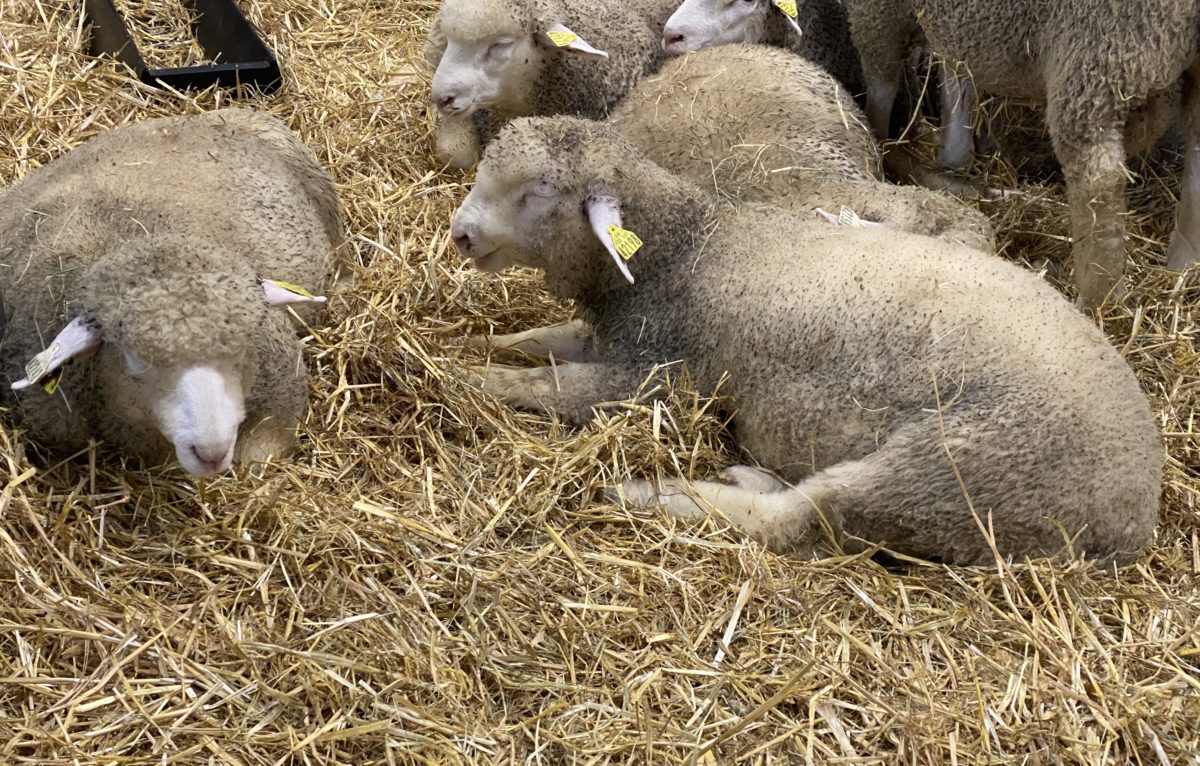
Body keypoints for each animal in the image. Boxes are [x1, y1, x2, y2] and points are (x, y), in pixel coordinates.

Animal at [1, 110, 348, 477]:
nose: (211, 451)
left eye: (246, 344)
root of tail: (189, 118)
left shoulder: (283, 391)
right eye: (134, 358)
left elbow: (257, 458)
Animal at [451, 117, 1161, 566]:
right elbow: (538, 339)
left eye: (537, 191)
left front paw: (468, 378)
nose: (460, 234)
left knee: (797, 521)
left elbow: (550, 387)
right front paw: (487, 340)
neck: (685, 250)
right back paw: (746, 474)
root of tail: (1133, 522)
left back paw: (659, 496)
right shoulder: (616, 337)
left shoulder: (658, 375)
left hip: (958, 472)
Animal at [806, 1, 1200, 312]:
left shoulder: (877, 10)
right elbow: (956, 76)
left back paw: (1097, 302)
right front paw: (952, 157)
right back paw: (1182, 267)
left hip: (1101, 43)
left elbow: (883, 88)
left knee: (1097, 181)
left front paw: (886, 152)